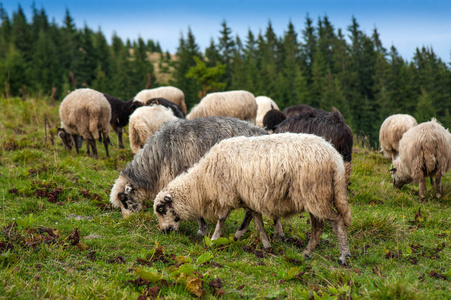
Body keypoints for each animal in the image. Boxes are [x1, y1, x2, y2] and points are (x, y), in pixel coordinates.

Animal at [155, 133, 354, 264]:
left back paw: (343, 256)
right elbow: (257, 220)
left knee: (337, 221)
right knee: (318, 226)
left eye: (161, 209)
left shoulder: (227, 193)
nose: (164, 232)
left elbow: (222, 219)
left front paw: (213, 239)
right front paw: (265, 244)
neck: (201, 183)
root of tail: (335, 158)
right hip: (314, 197)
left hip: (315, 193)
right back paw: (306, 253)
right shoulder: (248, 196)